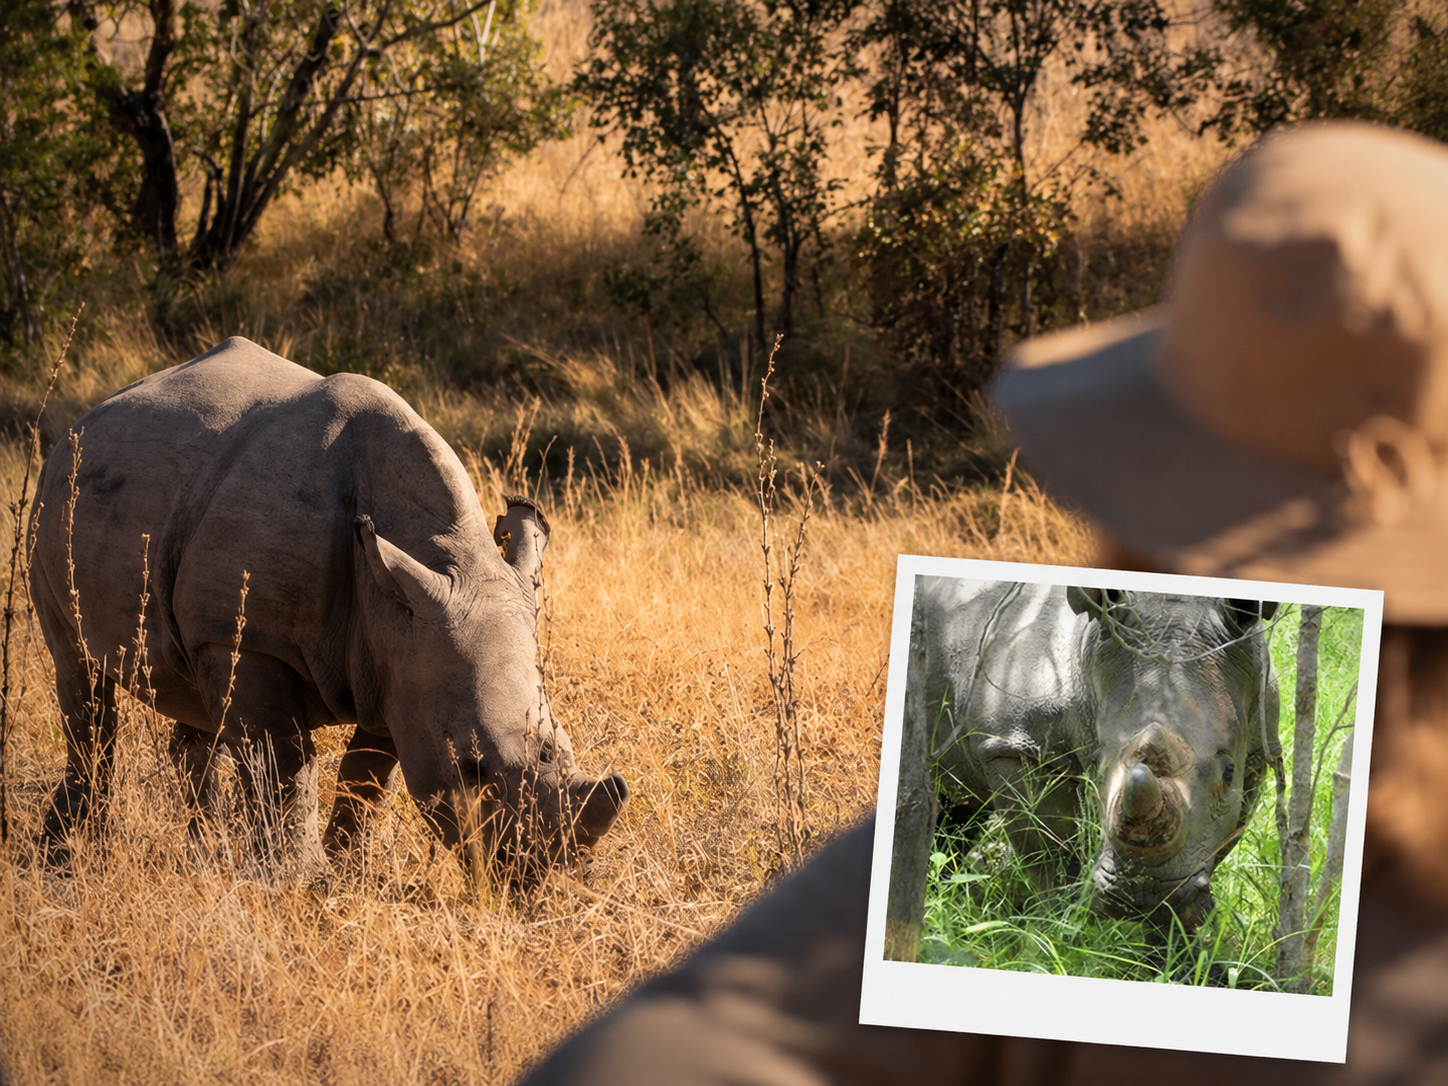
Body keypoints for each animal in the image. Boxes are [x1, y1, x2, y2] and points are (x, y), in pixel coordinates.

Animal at [31, 336, 628, 876]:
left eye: (561, 746)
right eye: (472, 766)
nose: (542, 873)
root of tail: (88, 414)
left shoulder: (403, 656)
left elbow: (369, 778)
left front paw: (348, 873)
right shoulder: (251, 638)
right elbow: (285, 762)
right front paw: (297, 880)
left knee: (192, 696)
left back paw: (201, 856)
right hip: (54, 498)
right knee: (81, 680)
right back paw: (69, 856)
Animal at [887, 579, 1278, 955]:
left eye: (1229, 774)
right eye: (1098, 763)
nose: (1141, 898)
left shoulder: (1257, 754)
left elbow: (1214, 843)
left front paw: (1174, 955)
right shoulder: (1019, 748)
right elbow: (1051, 853)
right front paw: (1059, 940)